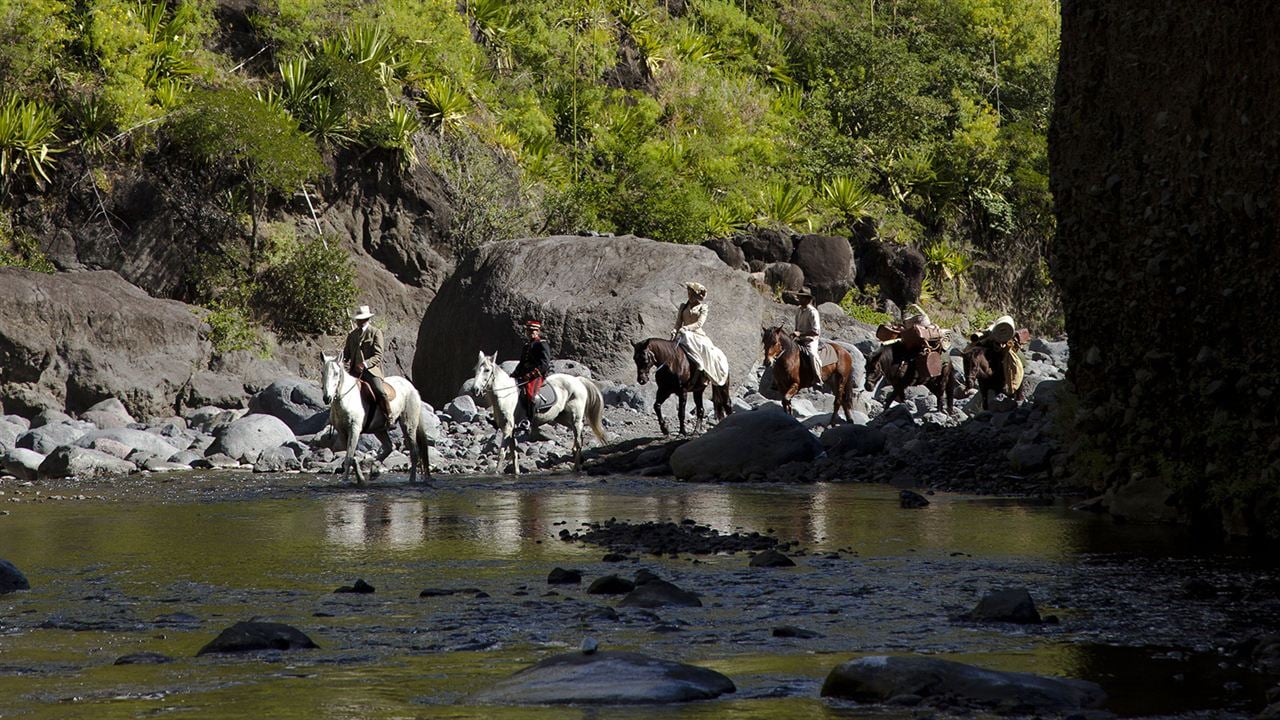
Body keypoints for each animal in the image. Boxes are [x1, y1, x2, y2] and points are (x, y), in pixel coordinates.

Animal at [320, 351, 435, 481]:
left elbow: (349, 457)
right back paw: (374, 469)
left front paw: (345, 480)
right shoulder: (343, 432)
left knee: (414, 451)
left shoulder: (354, 429)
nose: (327, 398)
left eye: (336, 373)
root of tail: (412, 388)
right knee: (390, 447)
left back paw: (411, 479)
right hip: (379, 430)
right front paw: (361, 479)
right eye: (322, 372)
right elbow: (352, 457)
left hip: (408, 425)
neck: (347, 398)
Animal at [473, 351, 606, 474]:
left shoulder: (507, 428)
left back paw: (575, 468)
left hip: (575, 418)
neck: (506, 395)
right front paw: (516, 473)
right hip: (563, 418)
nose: (475, 389)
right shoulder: (510, 430)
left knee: (578, 442)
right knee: (579, 438)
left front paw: (496, 473)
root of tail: (577, 380)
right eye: (476, 369)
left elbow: (502, 453)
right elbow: (513, 453)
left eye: (487, 370)